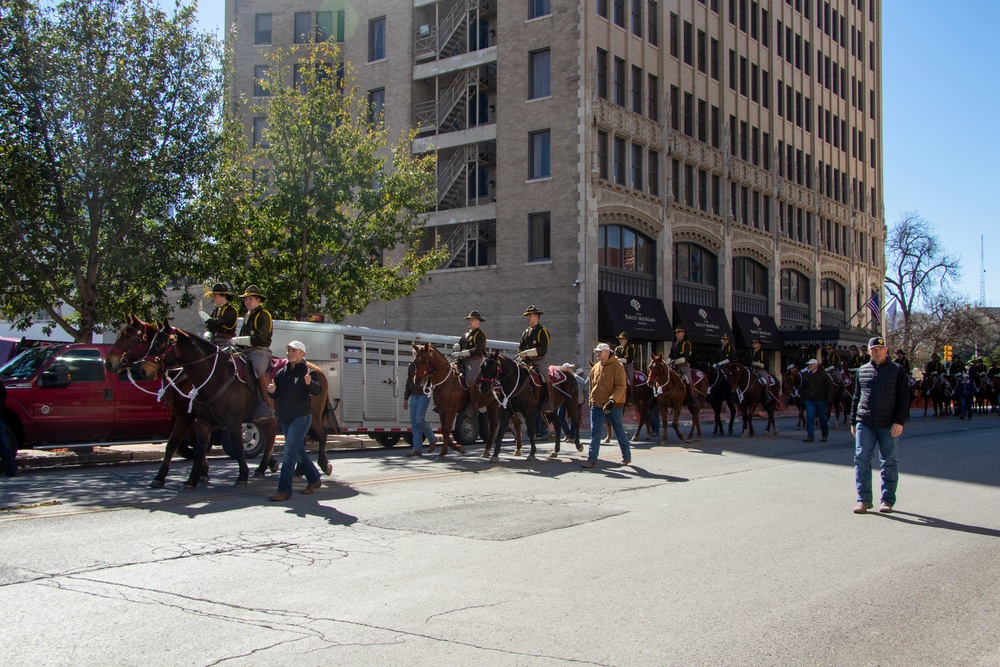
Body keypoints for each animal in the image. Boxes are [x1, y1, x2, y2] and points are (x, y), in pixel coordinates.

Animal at [139, 324, 276, 490]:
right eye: (151, 342)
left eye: (160, 343)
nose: (143, 370)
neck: (216, 375)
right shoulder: (203, 421)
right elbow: (196, 449)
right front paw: (191, 480)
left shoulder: (232, 420)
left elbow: (238, 446)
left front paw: (242, 476)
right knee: (271, 437)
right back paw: (262, 468)